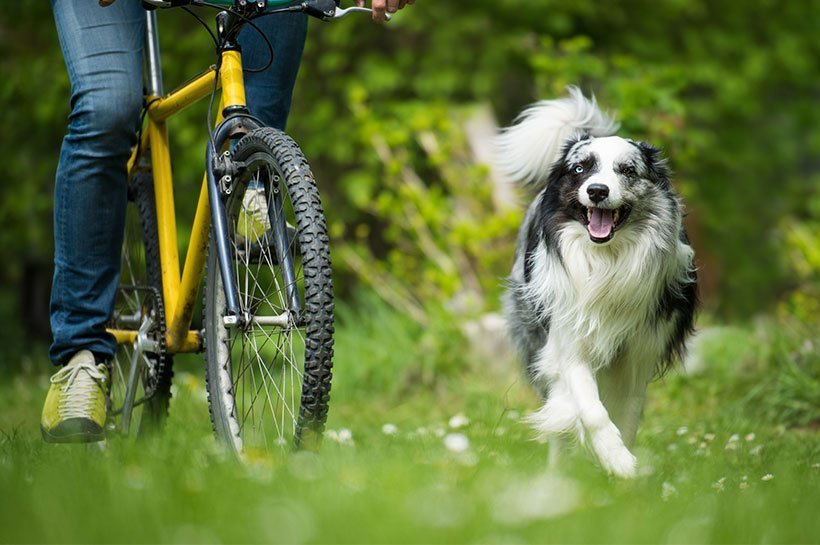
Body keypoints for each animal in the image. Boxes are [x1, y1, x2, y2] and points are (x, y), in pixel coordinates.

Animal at [496, 86, 696, 476]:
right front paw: (614, 458)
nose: (598, 191)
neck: (606, 259)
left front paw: (620, 465)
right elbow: (591, 410)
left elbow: (627, 416)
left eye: (627, 170)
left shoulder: (639, 354)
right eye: (580, 169)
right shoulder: (569, 341)